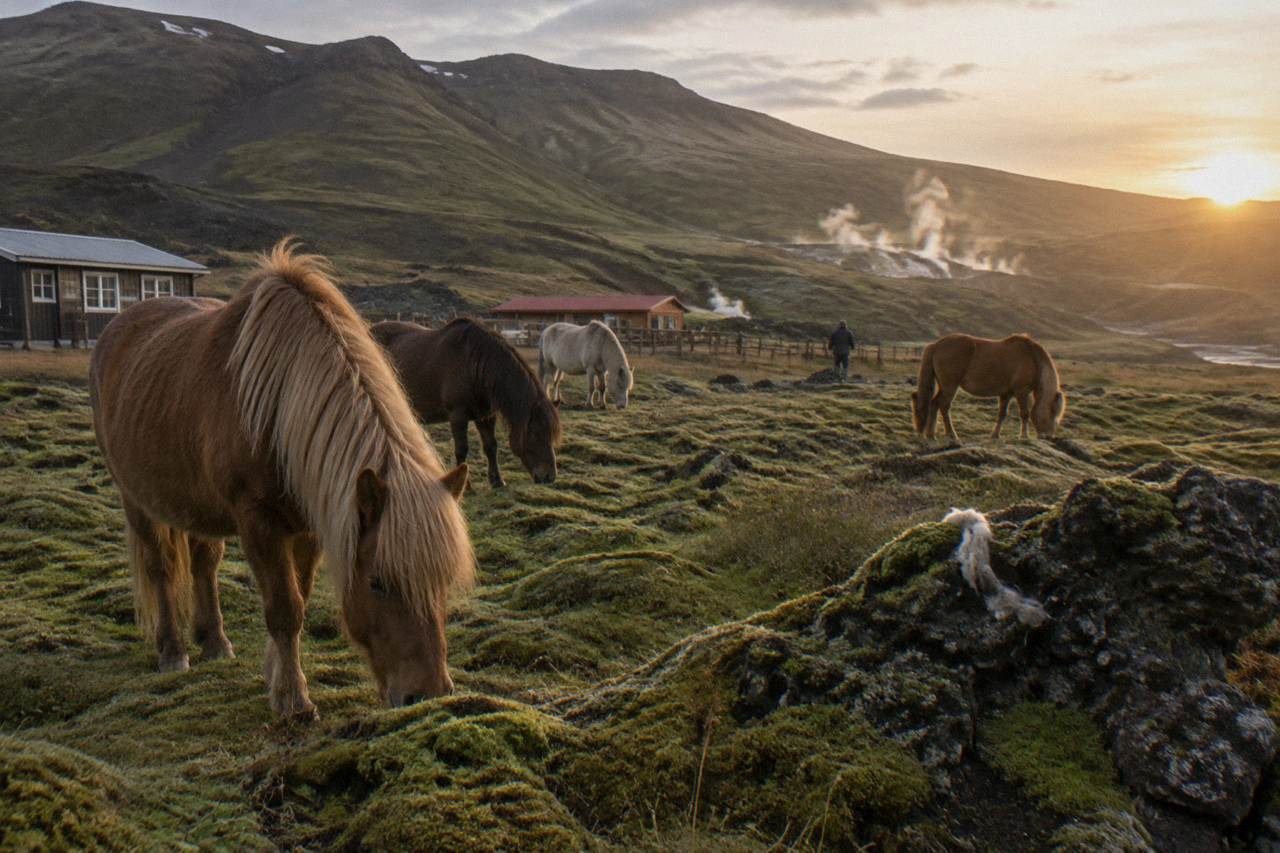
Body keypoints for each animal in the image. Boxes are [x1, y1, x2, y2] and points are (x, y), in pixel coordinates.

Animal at [89, 241, 474, 718]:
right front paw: (293, 698)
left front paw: (276, 672)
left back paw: (214, 642)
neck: (279, 411)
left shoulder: (310, 522)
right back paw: (172, 651)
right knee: (160, 567)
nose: (429, 694)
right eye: (378, 583)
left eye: (443, 581)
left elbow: (300, 598)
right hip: (135, 499)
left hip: (195, 503)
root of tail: (116, 327)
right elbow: (284, 607)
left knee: (203, 563)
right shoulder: (259, 520)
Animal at [372, 319, 561, 488]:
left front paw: (497, 480)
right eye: (535, 434)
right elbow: (462, 448)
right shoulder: (458, 415)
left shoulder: (485, 416)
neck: (474, 365)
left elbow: (491, 446)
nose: (550, 476)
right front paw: (467, 484)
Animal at [912, 333, 1066, 443]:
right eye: (1052, 413)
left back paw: (931, 435)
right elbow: (1024, 413)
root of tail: (936, 345)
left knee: (934, 404)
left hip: (945, 386)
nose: (1048, 437)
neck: (1032, 358)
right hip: (950, 386)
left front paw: (995, 435)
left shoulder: (1006, 394)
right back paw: (950, 434)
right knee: (943, 405)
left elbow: (1002, 414)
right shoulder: (1021, 392)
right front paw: (1024, 436)